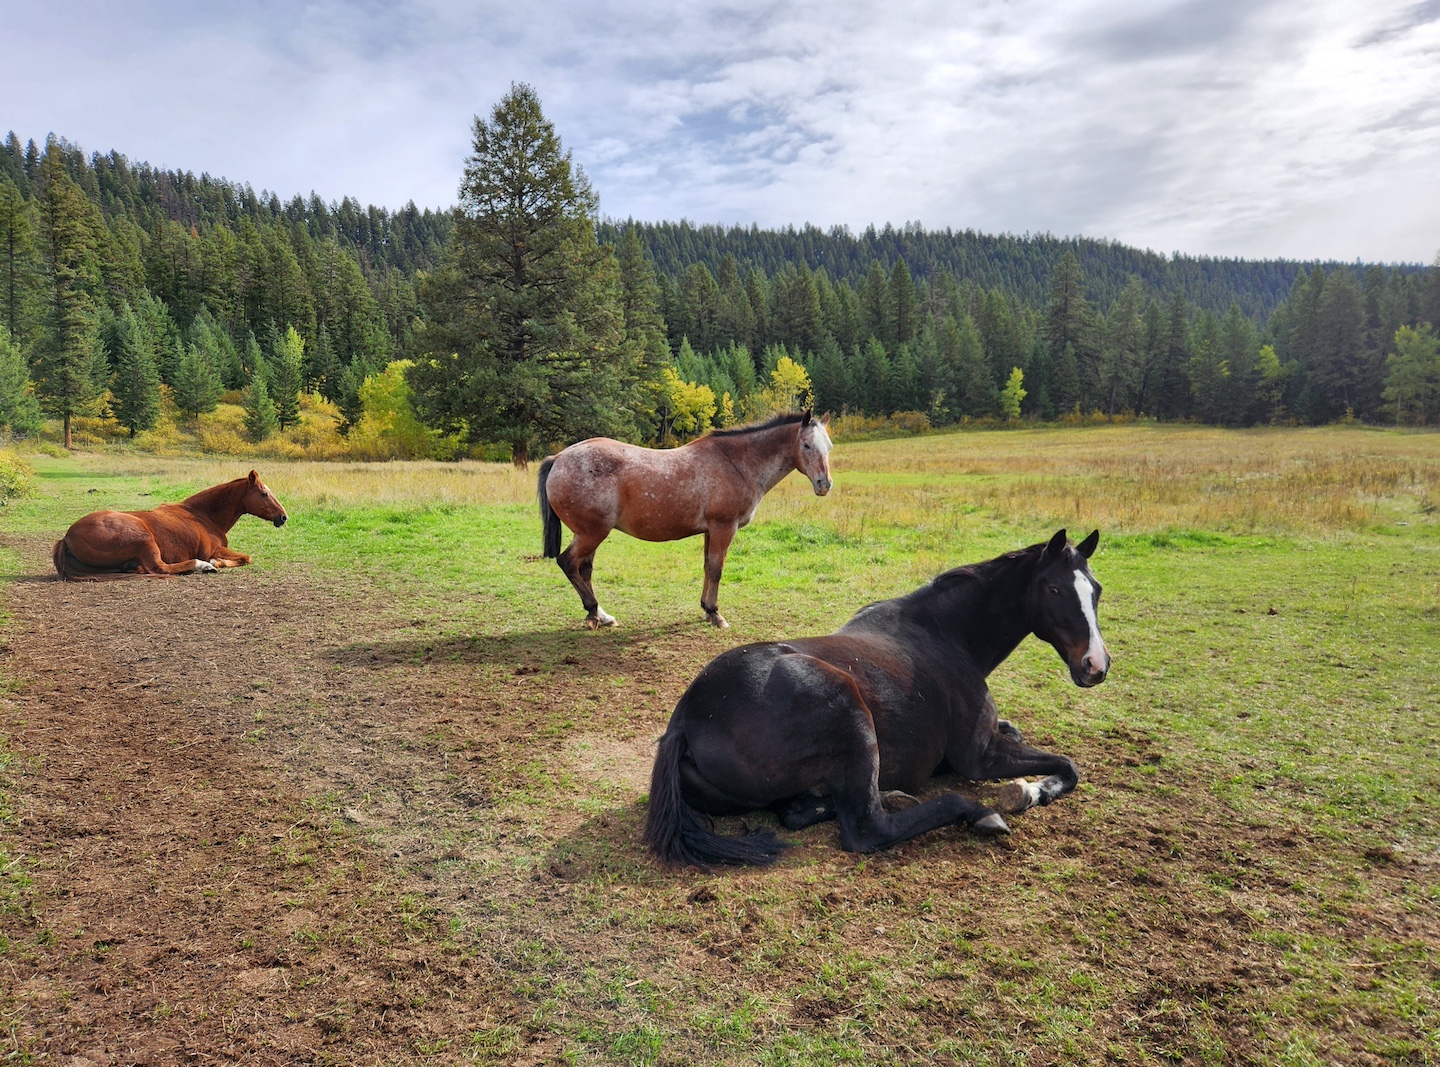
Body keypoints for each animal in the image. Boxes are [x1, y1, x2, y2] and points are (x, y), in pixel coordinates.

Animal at [54, 469, 289, 578]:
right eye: (264, 493)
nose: (283, 517)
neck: (201, 515)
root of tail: (67, 537)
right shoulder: (213, 549)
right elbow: (246, 557)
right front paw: (216, 563)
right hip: (144, 540)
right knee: (160, 567)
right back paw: (202, 566)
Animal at [538, 406, 835, 624]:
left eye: (829, 446)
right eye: (807, 445)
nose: (824, 484)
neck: (736, 462)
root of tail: (559, 458)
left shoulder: (710, 531)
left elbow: (707, 567)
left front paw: (705, 608)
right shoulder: (724, 528)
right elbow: (716, 569)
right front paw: (715, 613)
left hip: (590, 534)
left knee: (584, 569)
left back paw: (600, 615)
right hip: (592, 533)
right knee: (568, 563)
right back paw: (593, 608)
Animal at [648, 527, 1105, 863]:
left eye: (1096, 590)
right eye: (1054, 589)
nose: (1096, 665)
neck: (946, 636)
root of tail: (685, 721)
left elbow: (1021, 734)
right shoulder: (980, 756)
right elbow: (1068, 766)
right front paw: (1026, 792)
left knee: (802, 810)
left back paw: (892, 795)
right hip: (852, 718)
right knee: (868, 828)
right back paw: (978, 813)